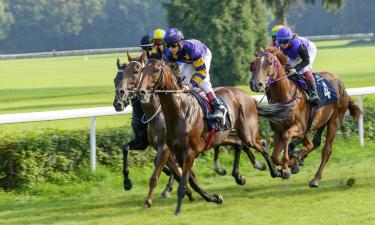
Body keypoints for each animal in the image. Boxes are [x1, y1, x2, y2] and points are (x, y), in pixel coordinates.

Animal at [137, 58, 296, 214]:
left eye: (156, 70)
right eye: (142, 70)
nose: (141, 91)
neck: (180, 110)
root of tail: (248, 96)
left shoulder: (188, 152)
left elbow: (182, 182)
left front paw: (177, 210)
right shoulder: (178, 153)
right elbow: (191, 182)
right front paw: (214, 198)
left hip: (248, 133)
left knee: (261, 146)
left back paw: (278, 172)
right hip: (224, 135)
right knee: (239, 144)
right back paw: (245, 174)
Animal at [248, 48, 362, 187]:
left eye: (269, 63)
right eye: (254, 64)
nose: (256, 84)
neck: (286, 96)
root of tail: (342, 86)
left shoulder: (300, 128)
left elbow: (291, 139)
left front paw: (289, 164)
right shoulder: (279, 131)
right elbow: (275, 156)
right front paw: (290, 165)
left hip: (334, 120)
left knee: (326, 150)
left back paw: (315, 179)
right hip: (321, 121)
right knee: (316, 142)